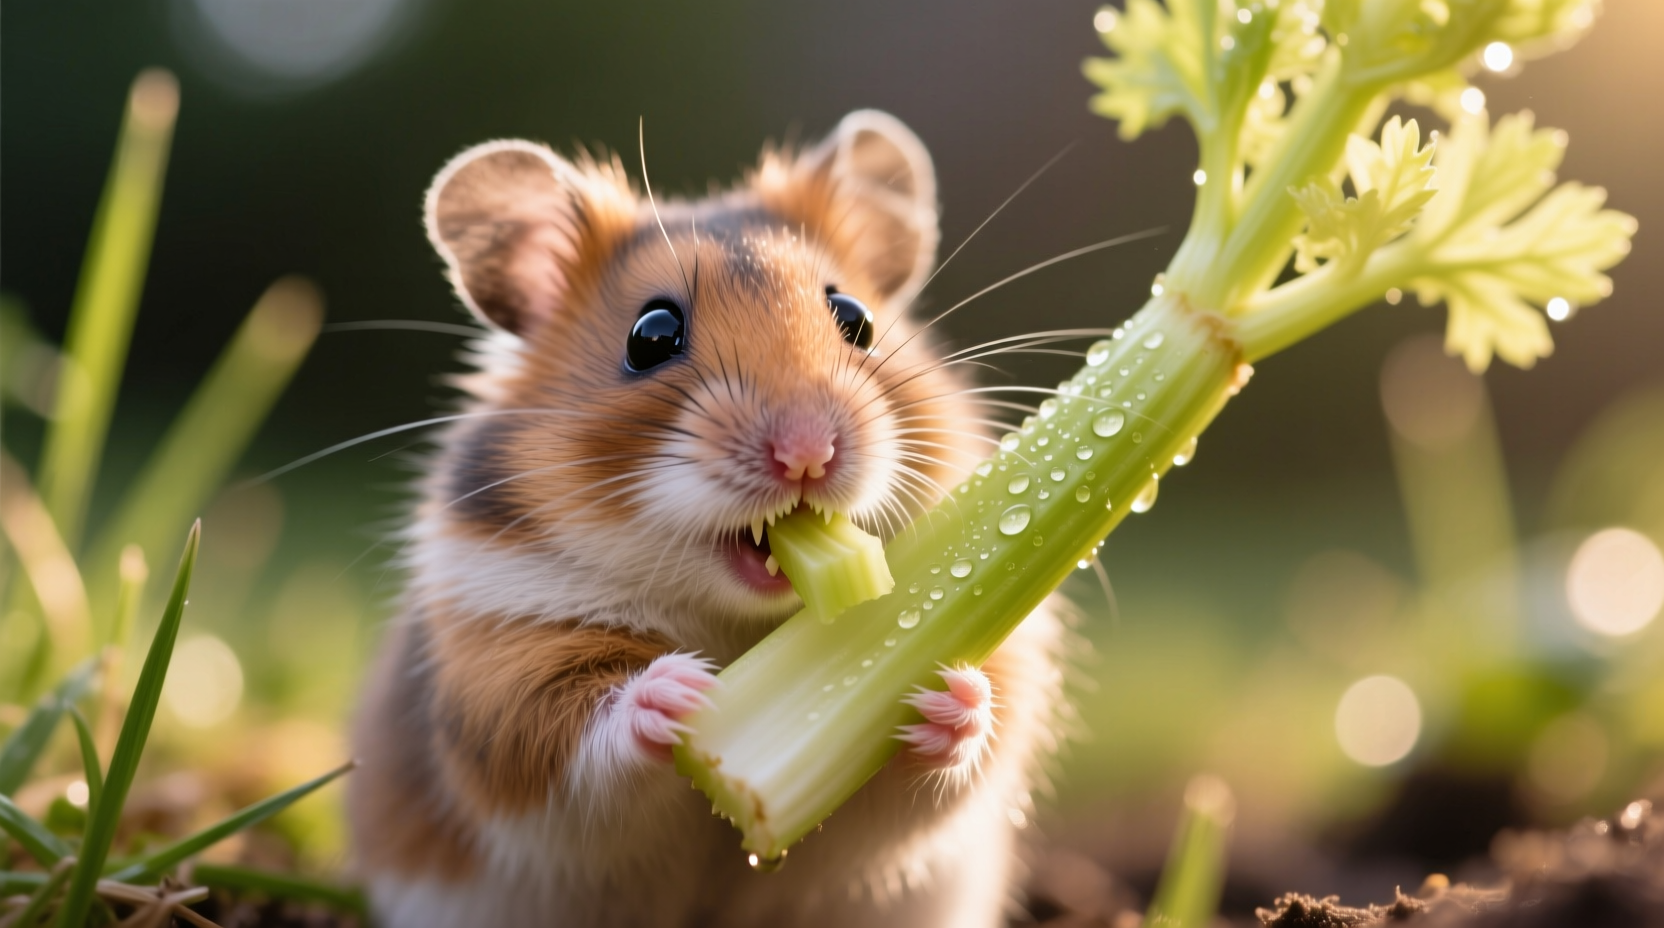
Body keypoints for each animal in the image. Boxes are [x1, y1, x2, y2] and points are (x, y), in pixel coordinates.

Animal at [347, 110, 1070, 928]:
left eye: (855, 319)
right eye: (652, 335)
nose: (807, 452)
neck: (733, 621)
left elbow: (954, 761)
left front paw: (951, 695)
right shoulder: (502, 669)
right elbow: (576, 739)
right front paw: (681, 695)